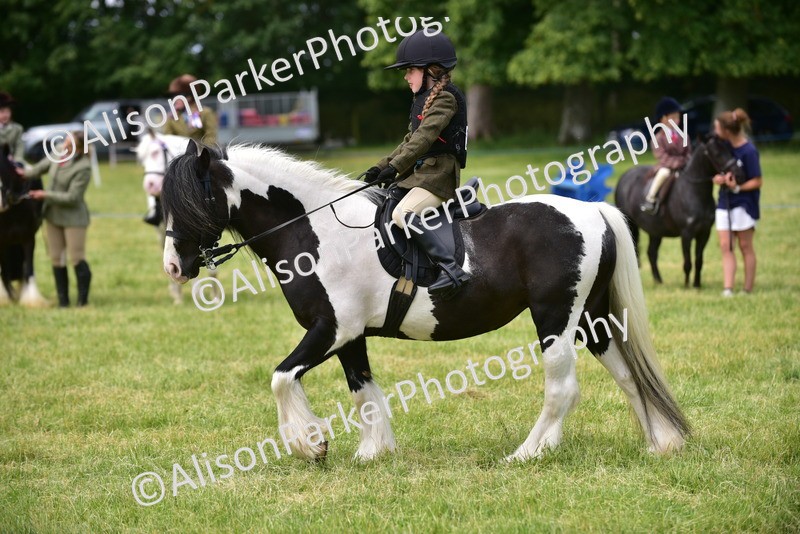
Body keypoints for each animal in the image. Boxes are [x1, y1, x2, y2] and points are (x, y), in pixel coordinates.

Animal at [0, 144, 46, 307]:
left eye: (2, 167)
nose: (0, 202)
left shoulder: (28, 238)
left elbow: (29, 269)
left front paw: (32, 300)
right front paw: (4, 298)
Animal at [160, 141, 690, 463]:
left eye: (193, 201)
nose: (173, 267)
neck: (317, 232)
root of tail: (593, 210)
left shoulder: (330, 330)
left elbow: (281, 377)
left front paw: (311, 445)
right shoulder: (350, 336)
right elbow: (362, 390)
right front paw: (373, 453)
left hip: (555, 318)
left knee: (563, 388)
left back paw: (527, 453)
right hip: (591, 318)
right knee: (628, 376)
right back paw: (658, 445)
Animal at [614, 135, 744, 287]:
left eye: (729, 150)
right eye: (717, 154)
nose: (739, 175)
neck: (695, 193)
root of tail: (625, 177)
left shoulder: (704, 233)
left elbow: (699, 260)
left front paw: (697, 284)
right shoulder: (686, 234)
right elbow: (687, 262)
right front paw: (687, 285)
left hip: (655, 231)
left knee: (652, 253)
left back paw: (658, 281)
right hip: (632, 226)